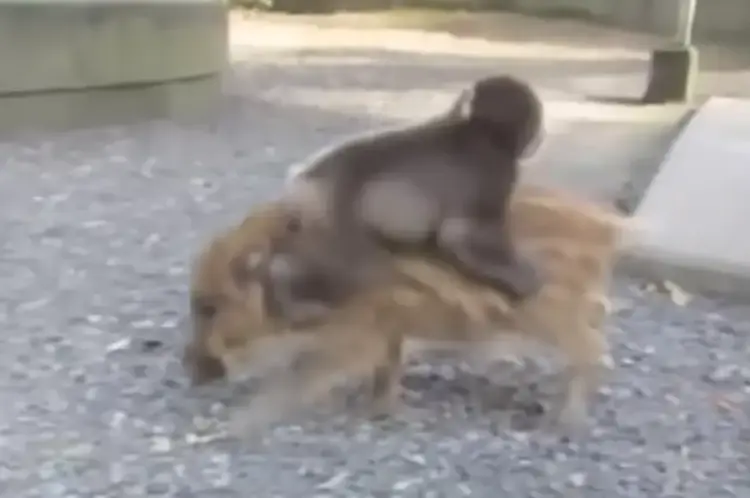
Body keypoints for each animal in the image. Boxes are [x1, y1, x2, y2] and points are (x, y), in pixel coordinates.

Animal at [269, 74, 547, 327]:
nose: (539, 134)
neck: (473, 127)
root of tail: (303, 179)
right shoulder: (497, 169)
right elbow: (461, 234)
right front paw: (523, 281)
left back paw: (280, 281)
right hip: (331, 216)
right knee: (354, 270)